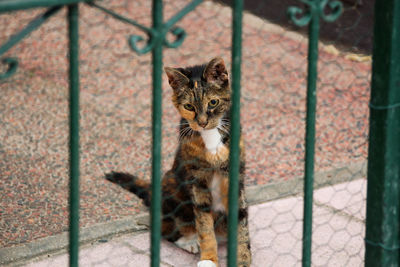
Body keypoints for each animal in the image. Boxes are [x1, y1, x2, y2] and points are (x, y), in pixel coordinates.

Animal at [106, 57, 250, 266]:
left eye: (213, 102)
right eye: (189, 106)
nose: (202, 122)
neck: (210, 137)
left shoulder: (234, 175)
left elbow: (241, 220)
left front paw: (243, 258)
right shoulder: (197, 180)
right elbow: (204, 225)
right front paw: (208, 259)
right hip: (172, 184)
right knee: (165, 229)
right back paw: (190, 242)